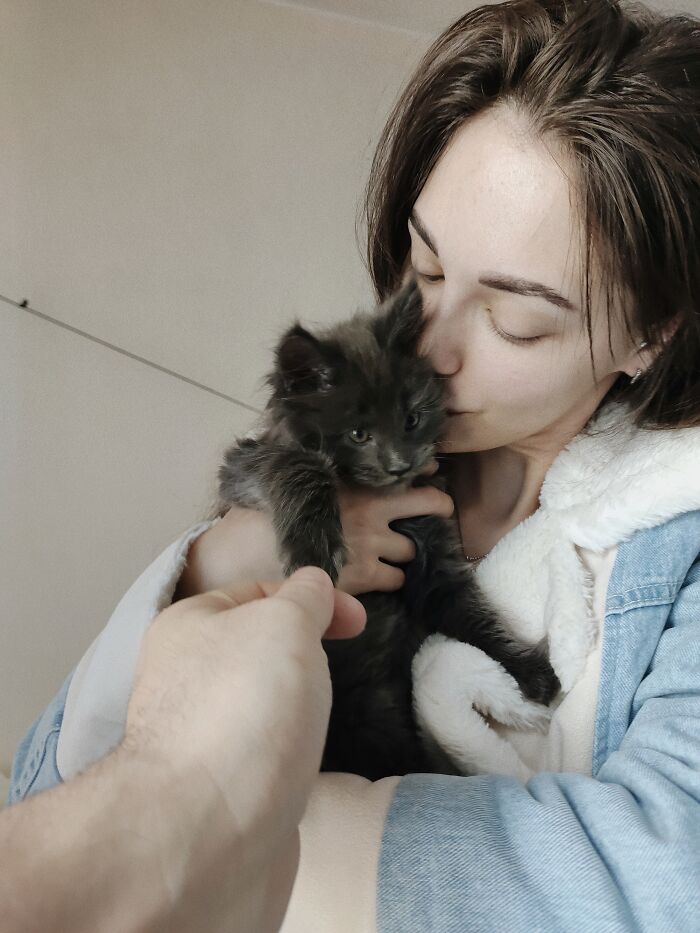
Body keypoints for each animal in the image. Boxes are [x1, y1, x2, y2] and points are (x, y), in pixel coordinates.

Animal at [213, 278, 556, 780]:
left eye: (412, 419)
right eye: (358, 434)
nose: (399, 464)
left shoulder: (435, 563)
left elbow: (473, 614)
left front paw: (528, 670)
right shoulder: (242, 466)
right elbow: (298, 465)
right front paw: (314, 547)